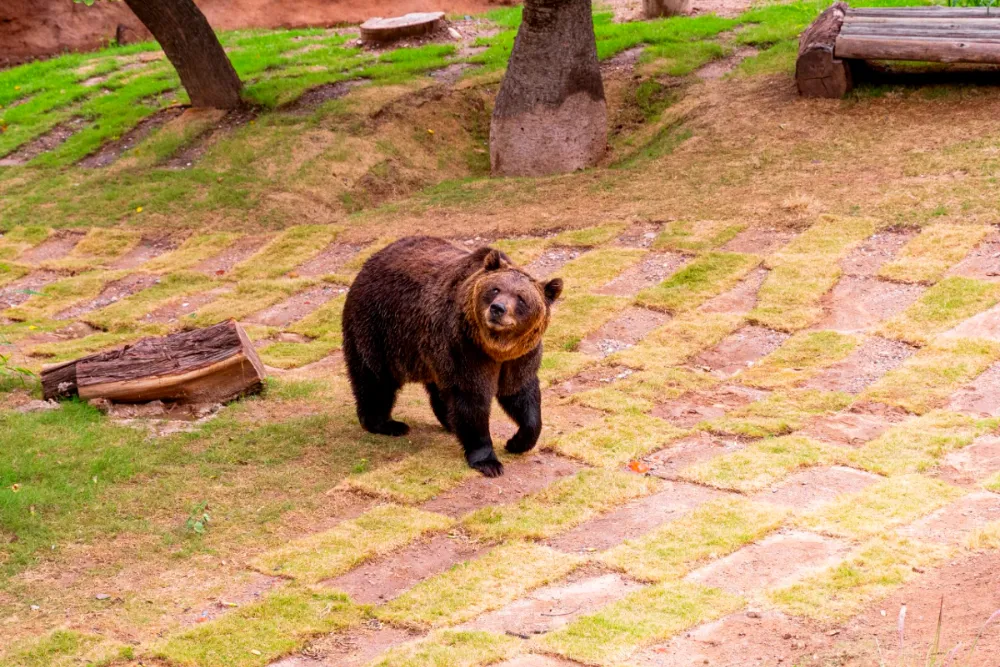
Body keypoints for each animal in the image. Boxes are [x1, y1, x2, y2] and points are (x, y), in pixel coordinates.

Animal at [341, 236, 563, 477]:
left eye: (521, 298)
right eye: (495, 289)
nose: (498, 308)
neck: (495, 347)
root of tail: (371, 260)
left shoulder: (520, 356)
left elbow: (521, 394)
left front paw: (516, 442)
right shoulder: (465, 346)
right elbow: (471, 398)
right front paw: (488, 461)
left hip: (427, 349)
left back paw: (447, 422)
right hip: (380, 328)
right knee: (374, 379)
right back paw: (387, 424)